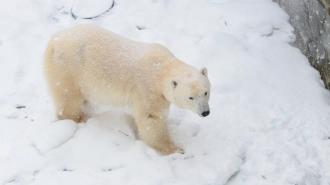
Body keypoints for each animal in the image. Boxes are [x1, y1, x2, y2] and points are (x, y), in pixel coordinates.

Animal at [43, 24, 210, 155]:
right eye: (191, 97)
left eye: (206, 92)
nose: (205, 112)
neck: (161, 67)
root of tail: (54, 39)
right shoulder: (148, 90)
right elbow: (151, 118)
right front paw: (174, 149)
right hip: (68, 68)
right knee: (68, 96)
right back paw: (79, 117)